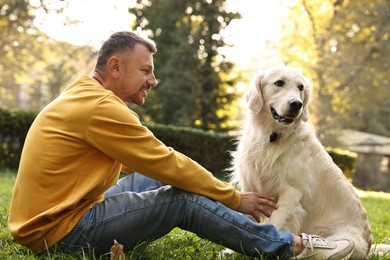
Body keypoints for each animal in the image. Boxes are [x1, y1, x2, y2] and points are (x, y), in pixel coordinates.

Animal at [230, 65, 374, 258]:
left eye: (301, 87)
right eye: (279, 83)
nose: (296, 104)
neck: (272, 137)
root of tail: (368, 248)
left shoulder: (291, 194)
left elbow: (273, 225)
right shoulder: (251, 188)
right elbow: (247, 220)